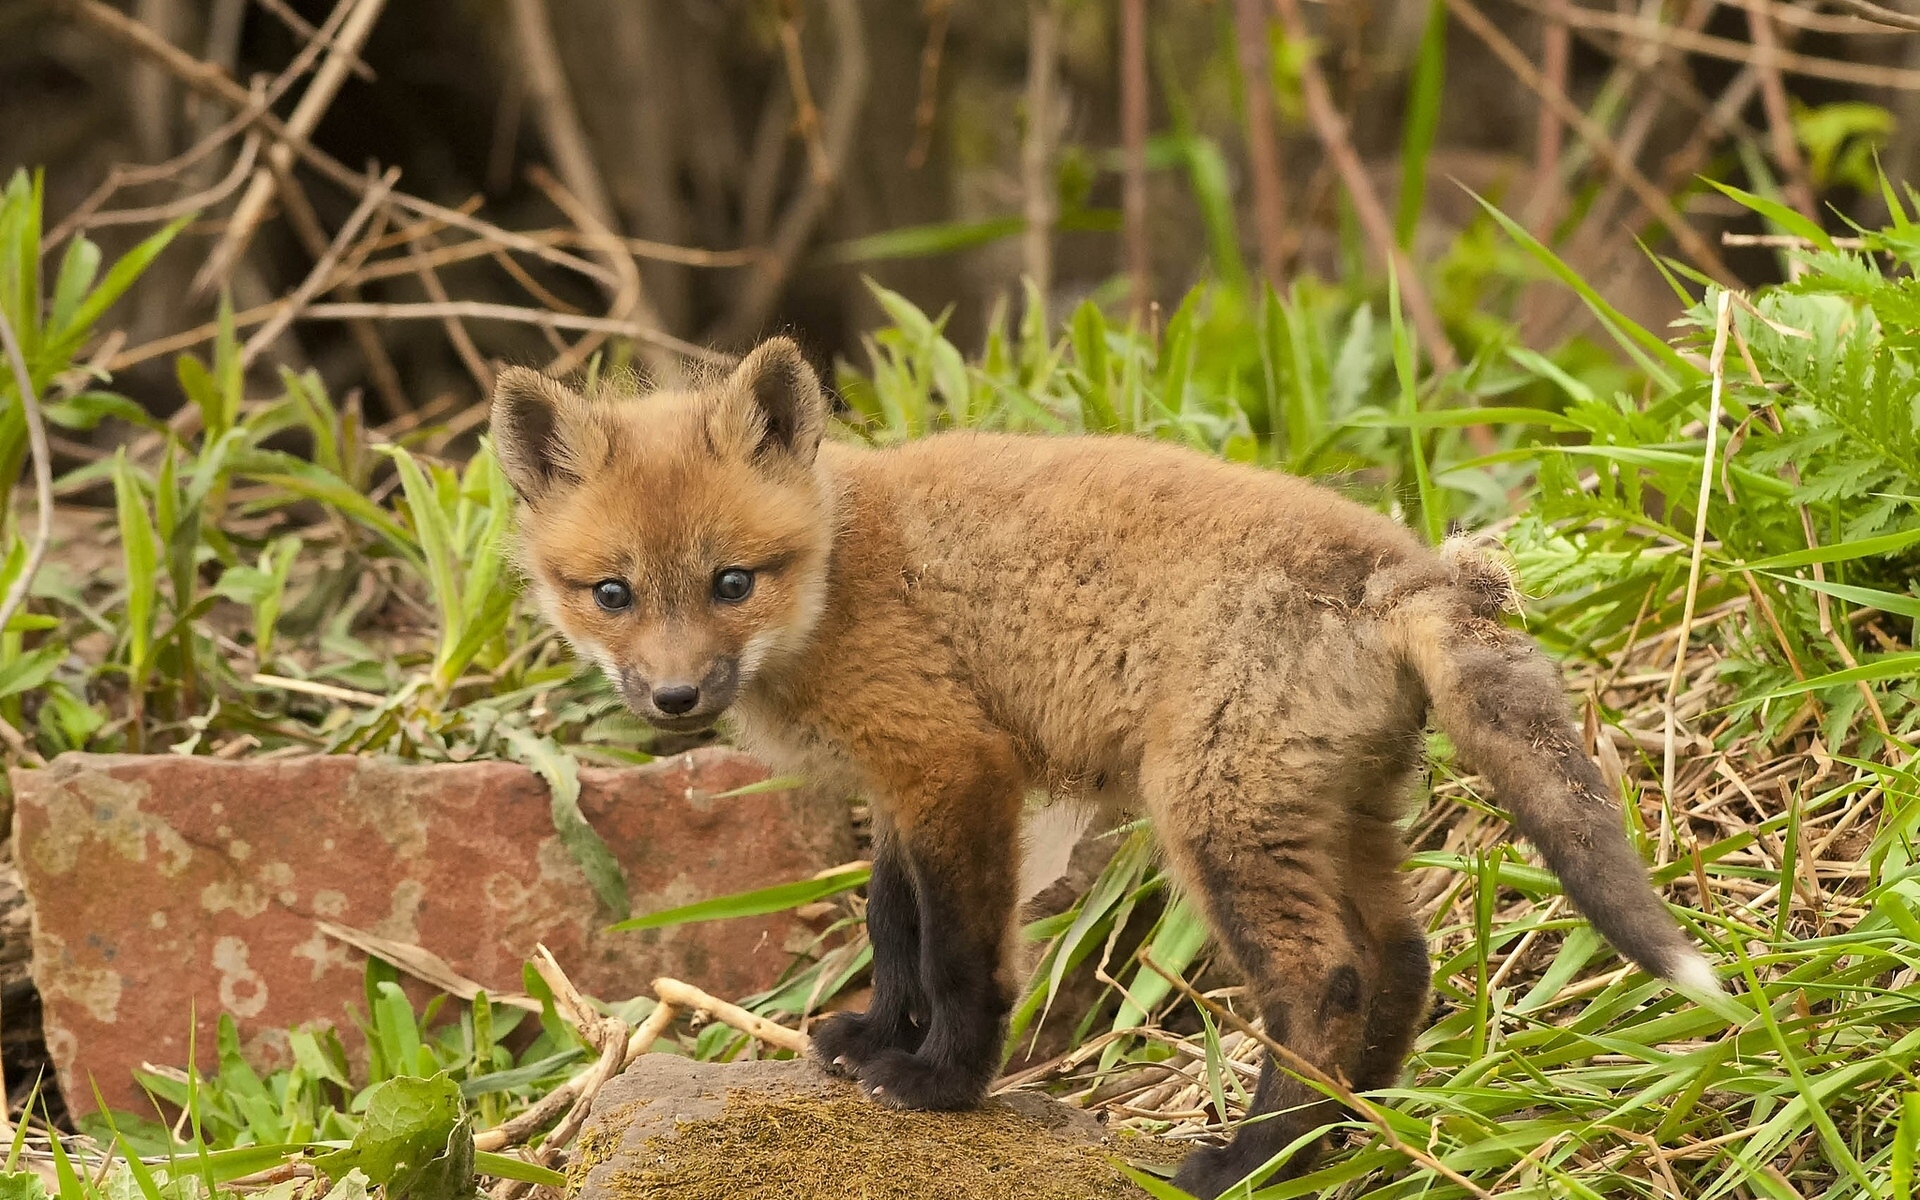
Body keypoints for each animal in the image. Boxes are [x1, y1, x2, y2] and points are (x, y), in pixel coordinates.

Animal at [487, 337, 1720, 1198]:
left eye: (732, 582)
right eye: (613, 593)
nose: (674, 699)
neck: (839, 573)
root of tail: (1402, 572)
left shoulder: (957, 765)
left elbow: (959, 955)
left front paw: (944, 1084)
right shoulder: (902, 784)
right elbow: (894, 927)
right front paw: (873, 1039)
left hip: (1211, 818)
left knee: (1325, 977)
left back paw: (1248, 1164)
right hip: (1336, 810)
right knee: (1404, 961)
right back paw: (1349, 1139)